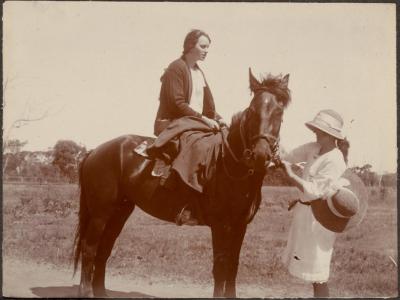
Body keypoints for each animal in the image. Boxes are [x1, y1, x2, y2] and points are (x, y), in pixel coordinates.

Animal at [72, 69, 290, 298]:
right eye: (252, 111)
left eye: (279, 113)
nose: (260, 155)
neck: (229, 165)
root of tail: (95, 151)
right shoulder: (221, 225)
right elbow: (220, 267)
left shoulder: (240, 226)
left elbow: (233, 265)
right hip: (100, 214)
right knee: (89, 248)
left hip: (119, 212)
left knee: (104, 249)